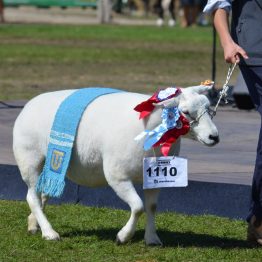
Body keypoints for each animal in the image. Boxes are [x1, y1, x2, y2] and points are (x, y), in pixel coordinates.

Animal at [12, 85, 219, 246]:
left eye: (209, 108)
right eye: (185, 112)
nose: (214, 137)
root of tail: (29, 104)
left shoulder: (154, 178)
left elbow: (151, 207)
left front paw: (152, 239)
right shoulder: (118, 177)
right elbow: (138, 207)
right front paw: (123, 236)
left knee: (42, 195)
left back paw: (34, 225)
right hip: (29, 158)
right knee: (32, 197)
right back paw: (49, 233)